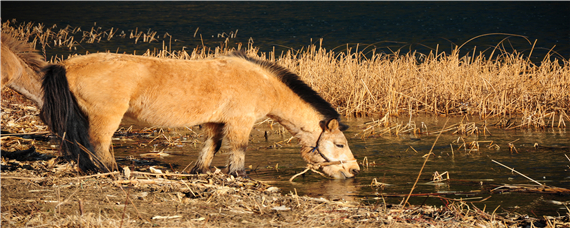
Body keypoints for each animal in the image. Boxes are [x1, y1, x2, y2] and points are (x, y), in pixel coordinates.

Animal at [41, 51, 360, 178]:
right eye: (340, 144)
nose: (354, 171)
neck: (262, 82)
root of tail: (67, 64)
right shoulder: (240, 122)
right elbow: (239, 149)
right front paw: (239, 174)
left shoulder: (215, 122)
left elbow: (211, 147)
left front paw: (200, 171)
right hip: (107, 118)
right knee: (99, 144)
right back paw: (110, 171)